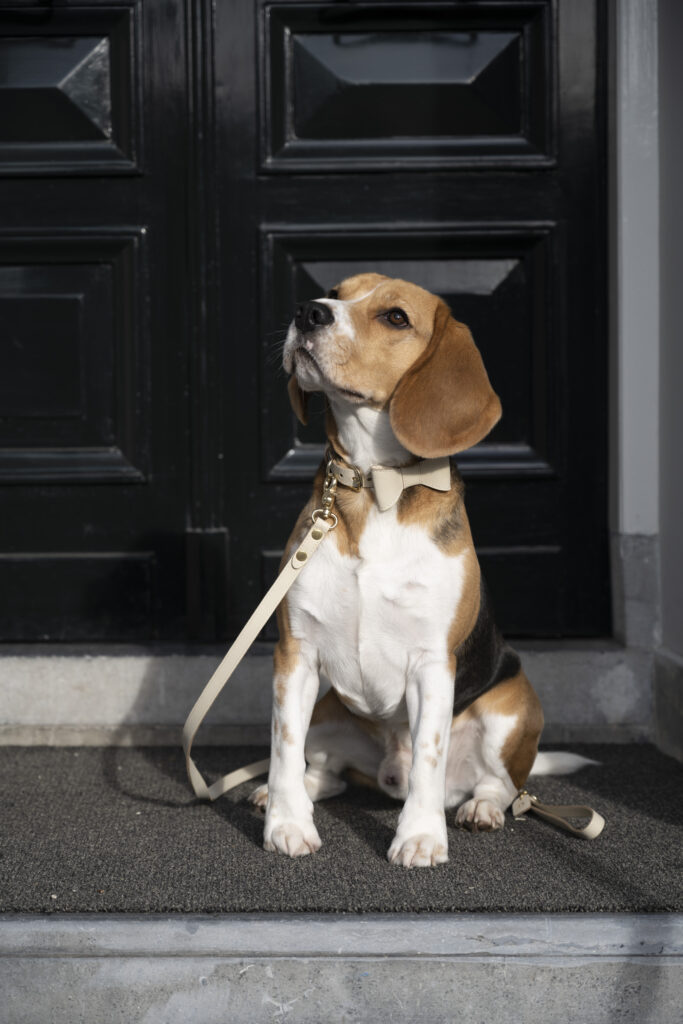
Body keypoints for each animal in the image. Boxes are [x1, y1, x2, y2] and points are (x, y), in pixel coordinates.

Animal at [250, 272, 548, 864]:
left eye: (395, 317)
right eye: (335, 292)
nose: (308, 312)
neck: (373, 483)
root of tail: (388, 769)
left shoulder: (433, 664)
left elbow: (430, 757)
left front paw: (420, 837)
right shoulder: (296, 654)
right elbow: (283, 746)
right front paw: (287, 823)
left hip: (514, 708)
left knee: (502, 786)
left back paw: (479, 808)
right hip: (329, 714)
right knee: (326, 771)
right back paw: (281, 792)